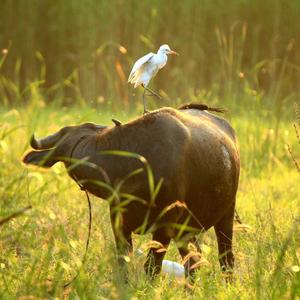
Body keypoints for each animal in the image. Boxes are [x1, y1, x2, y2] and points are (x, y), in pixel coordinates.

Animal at [22, 104, 240, 280]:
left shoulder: (165, 225)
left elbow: (152, 267)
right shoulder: (119, 222)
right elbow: (123, 262)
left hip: (225, 216)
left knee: (225, 259)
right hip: (186, 229)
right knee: (194, 262)